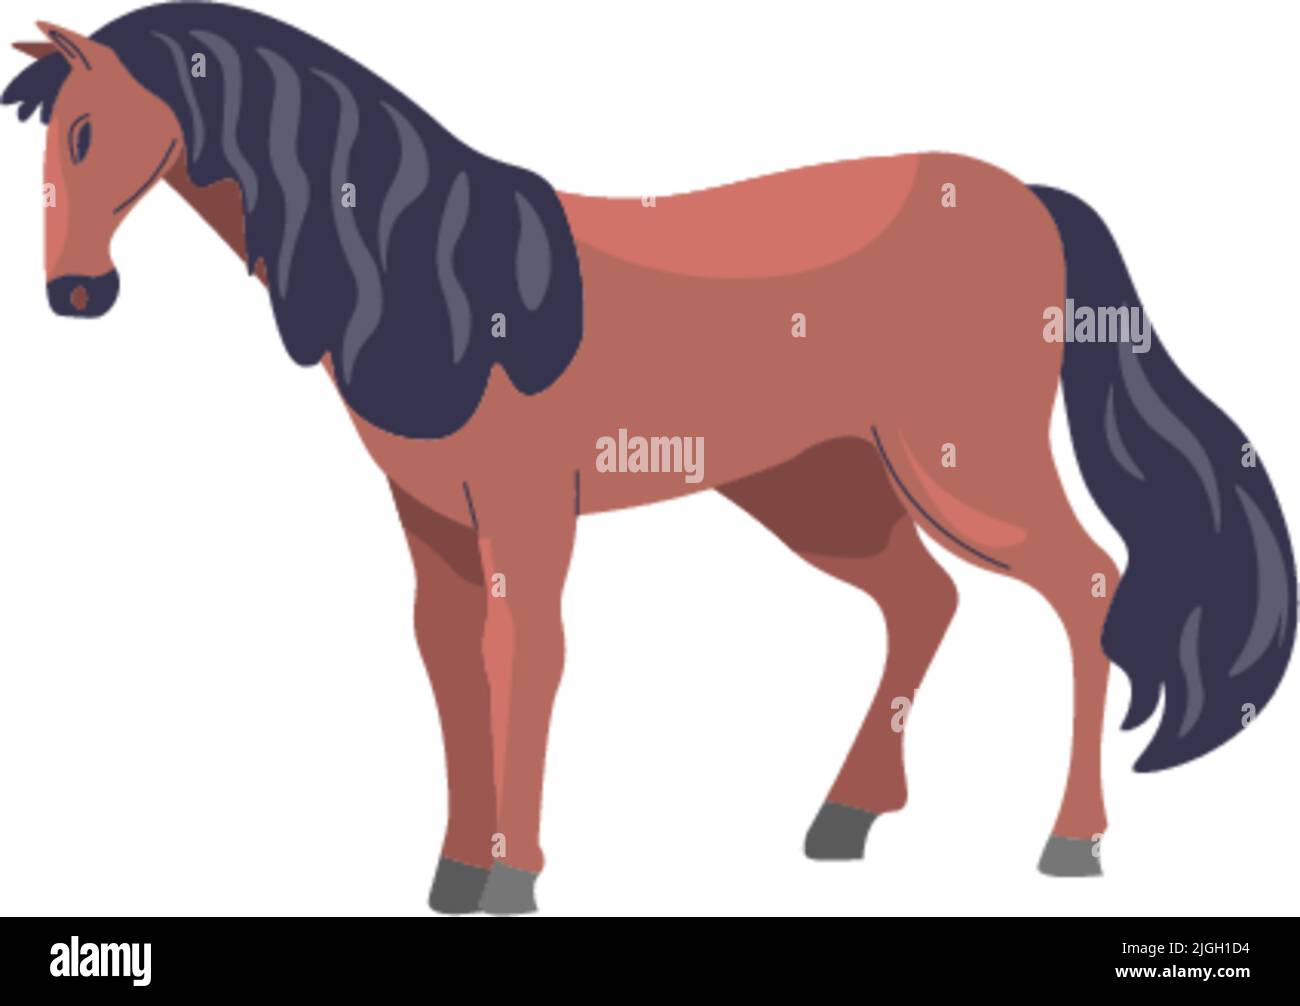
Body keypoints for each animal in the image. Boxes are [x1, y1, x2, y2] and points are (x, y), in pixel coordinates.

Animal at [4, 2, 1294, 914]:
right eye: (44, 143)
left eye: (87, 129)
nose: (75, 294)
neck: (449, 279)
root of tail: (1028, 195)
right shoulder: (436, 522)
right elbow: (448, 664)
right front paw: (451, 873)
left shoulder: (526, 511)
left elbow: (525, 657)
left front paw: (512, 876)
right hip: (818, 483)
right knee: (922, 598)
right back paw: (846, 817)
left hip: (959, 461)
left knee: (1084, 584)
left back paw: (1069, 840)